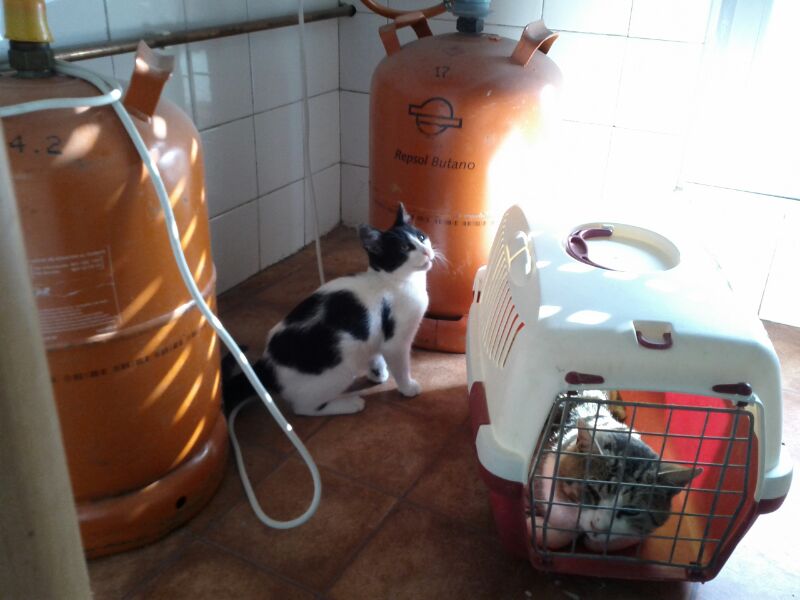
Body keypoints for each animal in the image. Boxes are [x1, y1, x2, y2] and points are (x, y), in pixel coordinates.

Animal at [223, 203, 434, 417]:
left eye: (421, 237)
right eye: (404, 248)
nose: (426, 251)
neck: (391, 281)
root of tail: (267, 365)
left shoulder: (373, 334)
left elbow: (375, 353)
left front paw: (377, 373)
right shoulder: (397, 341)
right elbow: (400, 365)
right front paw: (408, 387)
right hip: (339, 370)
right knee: (304, 408)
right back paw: (349, 404)